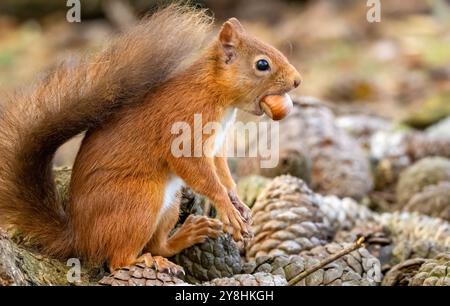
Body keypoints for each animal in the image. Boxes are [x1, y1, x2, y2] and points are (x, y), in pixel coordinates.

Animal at [0, 4, 302, 272]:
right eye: (262, 64)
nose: (297, 81)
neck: (215, 94)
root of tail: (80, 238)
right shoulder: (185, 130)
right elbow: (200, 173)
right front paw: (227, 208)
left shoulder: (216, 145)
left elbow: (223, 174)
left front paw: (238, 203)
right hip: (139, 202)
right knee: (118, 260)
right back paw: (144, 261)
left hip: (169, 205)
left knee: (158, 245)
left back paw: (188, 234)